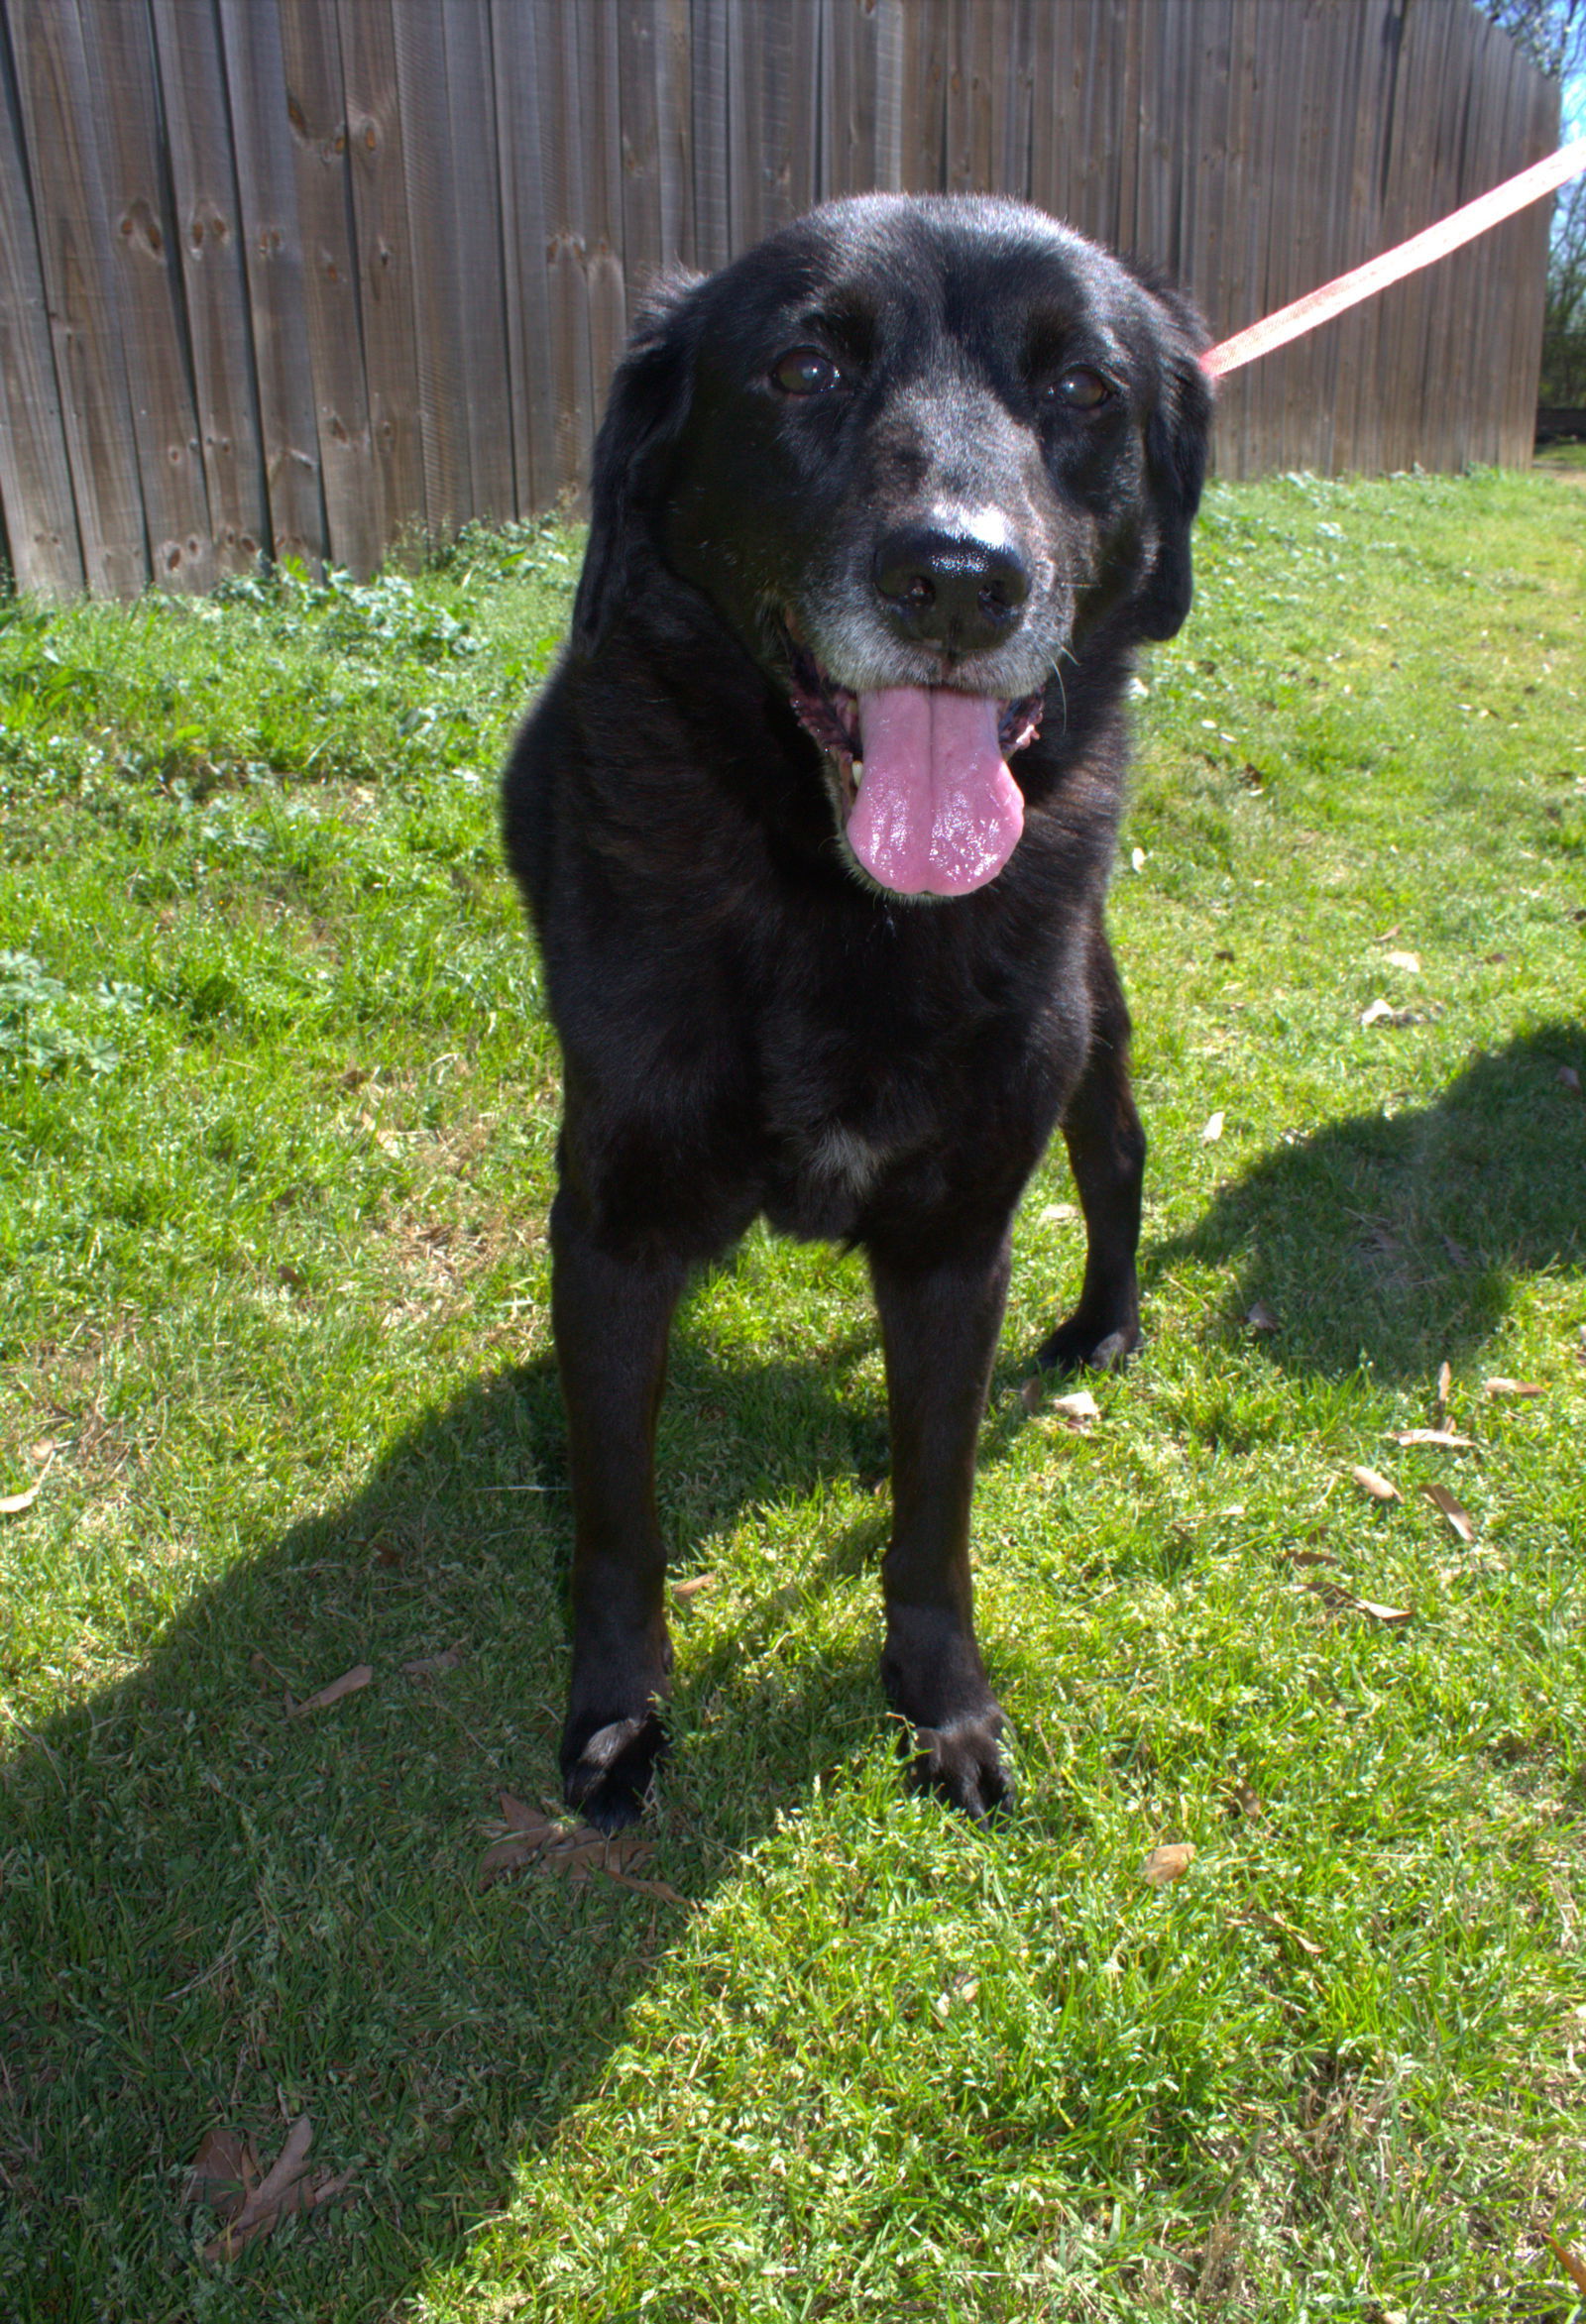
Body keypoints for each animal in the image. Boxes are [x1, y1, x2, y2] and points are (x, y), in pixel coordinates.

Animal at [500, 194, 1199, 1830]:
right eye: (805, 368)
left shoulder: (955, 1241)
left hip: (1088, 1020)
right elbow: (617, 1522)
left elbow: (938, 1511)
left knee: (1120, 1159)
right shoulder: (610, 1229)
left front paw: (942, 1698)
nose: (958, 581)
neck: (839, 902)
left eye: (1084, 390)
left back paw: (1103, 1324)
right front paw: (618, 1711)